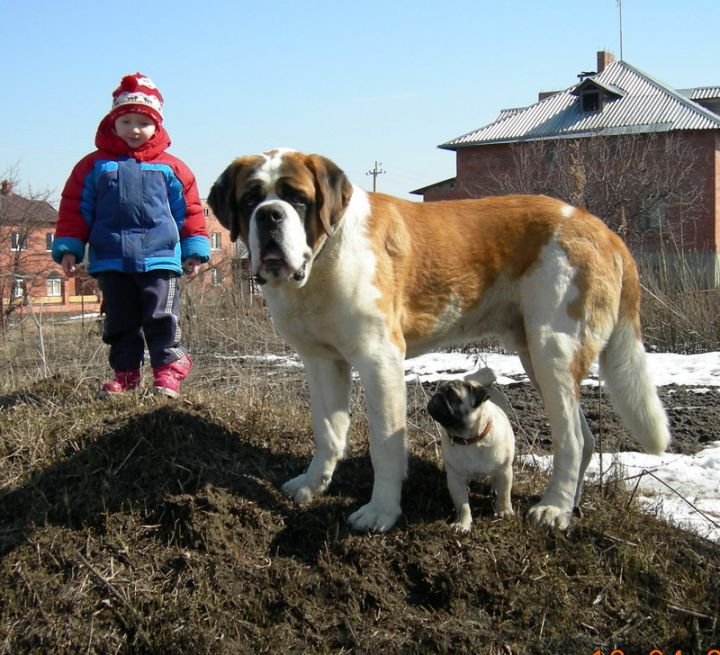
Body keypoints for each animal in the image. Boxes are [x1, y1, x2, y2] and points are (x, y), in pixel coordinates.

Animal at [427, 374, 515, 532]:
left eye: (452, 395)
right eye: (439, 390)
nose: (437, 395)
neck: (469, 439)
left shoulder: (504, 470)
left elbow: (504, 493)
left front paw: (504, 511)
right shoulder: (455, 478)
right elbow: (462, 505)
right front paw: (462, 523)